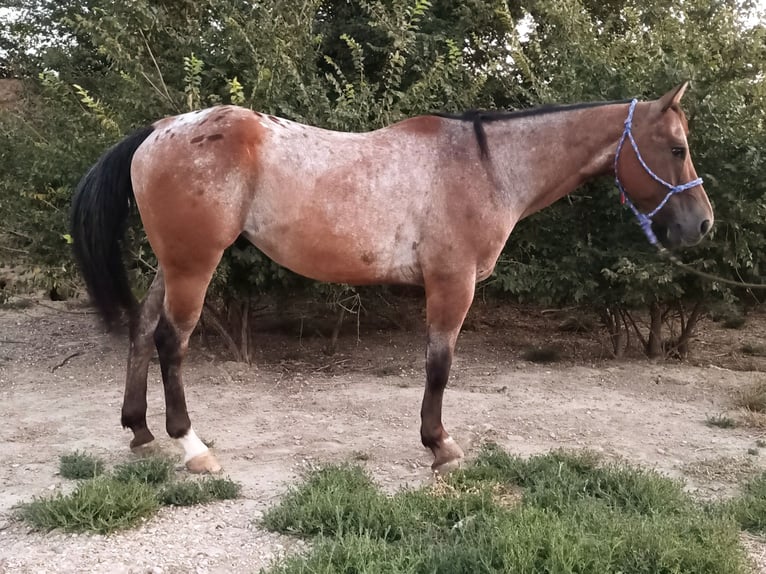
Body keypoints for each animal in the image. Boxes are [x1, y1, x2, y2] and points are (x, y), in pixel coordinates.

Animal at [70, 83, 712, 474]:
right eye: (677, 148)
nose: (702, 224)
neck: (485, 166)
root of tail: (161, 128)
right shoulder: (453, 284)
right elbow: (439, 365)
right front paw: (440, 445)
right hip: (194, 265)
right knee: (170, 342)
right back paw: (192, 446)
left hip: (174, 264)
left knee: (142, 329)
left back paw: (139, 430)